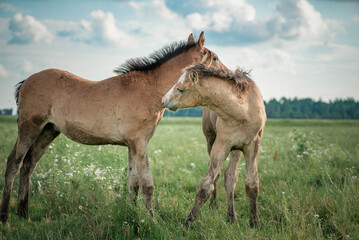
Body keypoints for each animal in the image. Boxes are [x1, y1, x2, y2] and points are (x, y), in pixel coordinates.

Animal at [0, 32, 228, 225]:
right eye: (215, 58)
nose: (228, 76)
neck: (150, 89)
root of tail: (26, 81)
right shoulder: (140, 142)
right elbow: (147, 184)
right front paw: (152, 221)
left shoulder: (132, 145)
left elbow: (132, 182)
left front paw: (132, 215)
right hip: (30, 127)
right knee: (14, 163)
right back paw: (6, 219)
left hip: (48, 131)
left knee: (29, 165)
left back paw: (24, 215)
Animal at [163, 63, 268, 227]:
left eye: (180, 89)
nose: (163, 100)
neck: (242, 112)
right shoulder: (221, 144)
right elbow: (206, 185)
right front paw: (187, 224)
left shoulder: (252, 145)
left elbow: (252, 184)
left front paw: (255, 222)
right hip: (211, 140)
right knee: (220, 176)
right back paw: (216, 206)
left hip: (236, 149)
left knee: (230, 176)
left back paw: (231, 216)